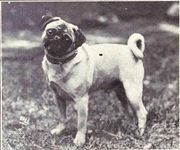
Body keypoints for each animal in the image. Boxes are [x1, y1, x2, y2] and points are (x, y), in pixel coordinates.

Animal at [40, 15, 148, 146]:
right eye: (50, 31)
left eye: (67, 39)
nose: (56, 38)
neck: (60, 62)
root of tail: (130, 49)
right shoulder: (58, 97)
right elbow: (62, 117)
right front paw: (60, 130)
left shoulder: (81, 100)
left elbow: (81, 123)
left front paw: (80, 139)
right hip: (121, 92)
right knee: (129, 109)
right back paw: (129, 124)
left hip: (132, 92)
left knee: (142, 112)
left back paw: (140, 131)